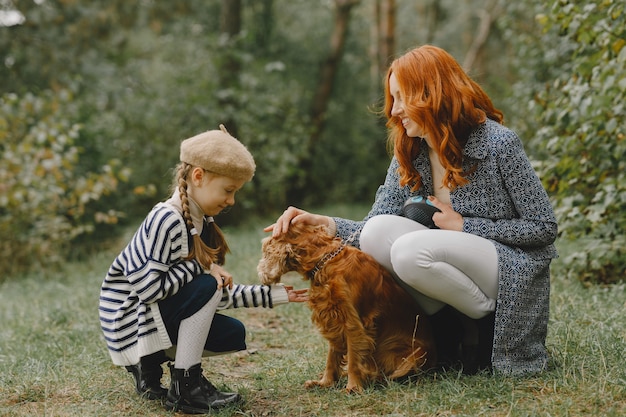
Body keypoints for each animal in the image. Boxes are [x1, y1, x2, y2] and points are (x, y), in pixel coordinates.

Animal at [256, 224, 436, 390]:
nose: (260, 273)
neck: (326, 260)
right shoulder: (333, 319)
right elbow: (332, 357)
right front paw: (325, 382)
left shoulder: (352, 323)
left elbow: (353, 360)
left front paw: (353, 387)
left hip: (414, 356)